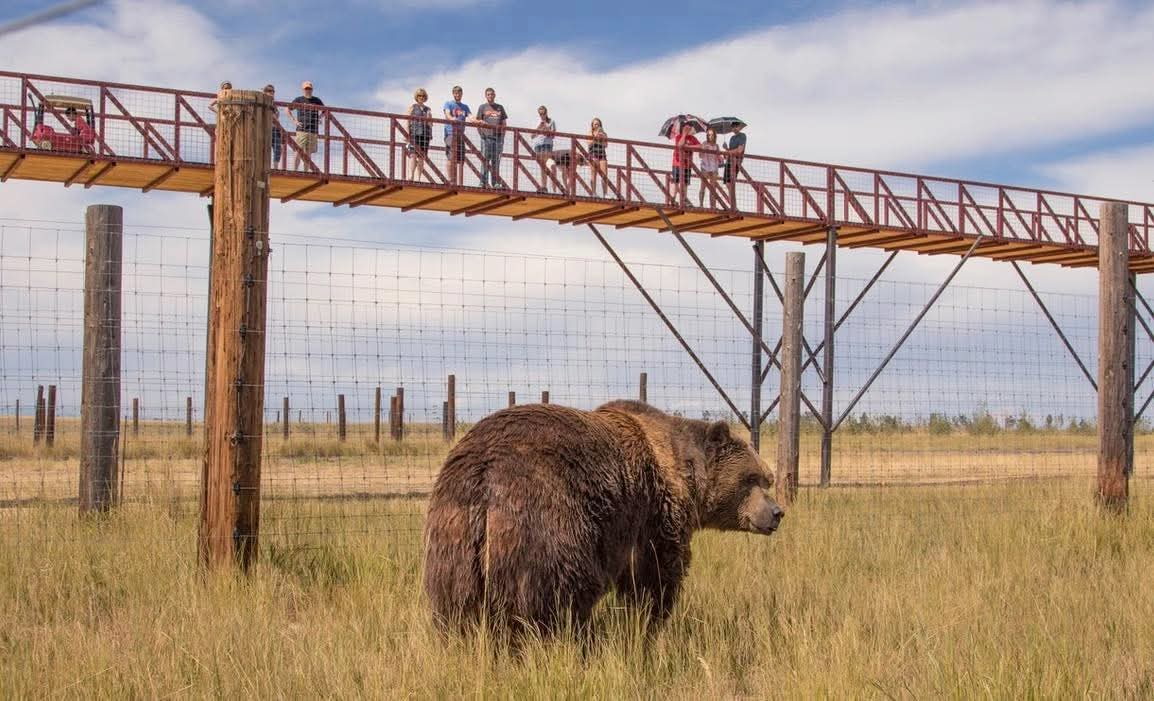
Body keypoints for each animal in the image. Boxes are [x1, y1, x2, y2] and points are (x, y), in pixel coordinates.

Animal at [422, 399, 783, 638]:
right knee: (559, 594)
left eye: (767, 478)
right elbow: (653, 575)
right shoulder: (654, 512)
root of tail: (485, 476)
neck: (685, 470)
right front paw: (649, 622)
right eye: (752, 478)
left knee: (456, 604)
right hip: (546, 521)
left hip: (452, 537)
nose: (777, 513)